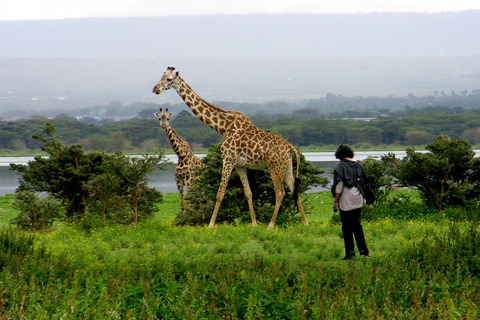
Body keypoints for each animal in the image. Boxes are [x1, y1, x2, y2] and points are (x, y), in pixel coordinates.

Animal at [152, 65, 306, 230]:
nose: (155, 89)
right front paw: (254, 224)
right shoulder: (240, 165)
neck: (224, 127)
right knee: (294, 189)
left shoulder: (228, 159)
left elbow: (220, 193)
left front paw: (211, 225)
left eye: (169, 79)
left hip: (274, 167)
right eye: (161, 76)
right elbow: (248, 193)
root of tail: (289, 147)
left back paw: (270, 226)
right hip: (287, 167)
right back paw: (305, 223)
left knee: (280, 192)